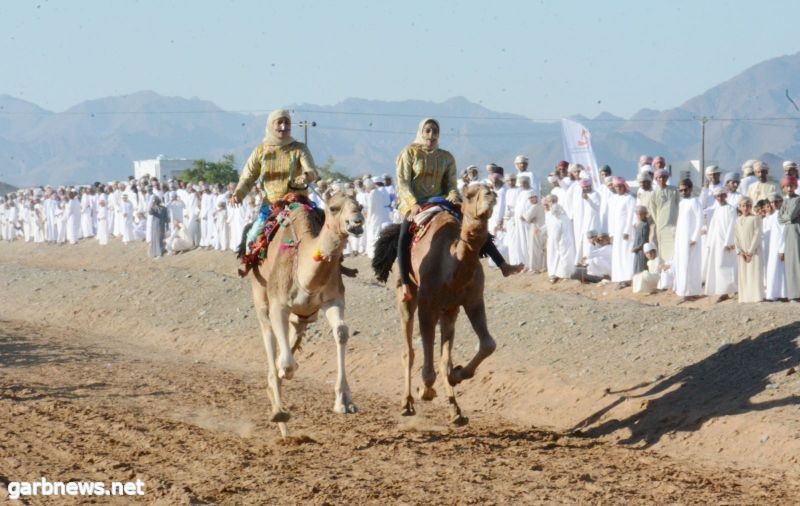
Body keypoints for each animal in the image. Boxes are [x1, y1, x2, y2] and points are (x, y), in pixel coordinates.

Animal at [247, 192, 366, 436]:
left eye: (359, 206)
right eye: (334, 208)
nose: (357, 222)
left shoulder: (333, 299)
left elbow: (341, 332)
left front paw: (344, 402)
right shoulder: (279, 304)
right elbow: (287, 364)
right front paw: (282, 376)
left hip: (302, 316)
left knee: (294, 335)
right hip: (260, 292)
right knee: (269, 334)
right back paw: (279, 411)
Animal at [372, 184, 496, 424]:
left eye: (491, 188)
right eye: (469, 194)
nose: (491, 196)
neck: (452, 264)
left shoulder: (472, 301)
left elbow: (487, 344)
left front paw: (457, 375)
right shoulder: (427, 305)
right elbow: (427, 368)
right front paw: (425, 391)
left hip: (448, 310)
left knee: (442, 357)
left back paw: (455, 410)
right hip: (406, 294)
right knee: (408, 351)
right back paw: (407, 403)